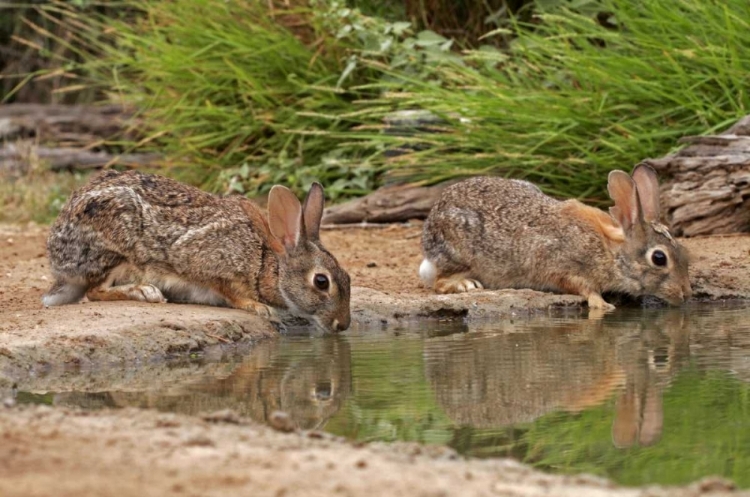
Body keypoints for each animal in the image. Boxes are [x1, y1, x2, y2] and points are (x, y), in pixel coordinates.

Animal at [42, 169, 354, 332]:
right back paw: (144, 292)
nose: (343, 325)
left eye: (348, 278)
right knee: (95, 291)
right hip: (117, 248)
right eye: (321, 282)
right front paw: (258, 307)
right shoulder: (206, 262)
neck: (266, 261)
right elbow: (228, 290)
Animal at [420, 165, 692, 308]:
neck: (608, 251)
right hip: (459, 252)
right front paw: (602, 305)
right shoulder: (558, 264)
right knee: (440, 282)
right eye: (659, 258)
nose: (685, 293)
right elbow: (581, 286)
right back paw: (466, 285)